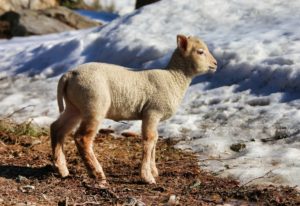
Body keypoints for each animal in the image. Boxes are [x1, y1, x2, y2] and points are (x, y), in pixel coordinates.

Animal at [50, 34, 217, 184]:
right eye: (200, 51)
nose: (215, 64)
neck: (174, 78)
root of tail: (69, 74)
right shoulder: (152, 111)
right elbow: (150, 139)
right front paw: (147, 177)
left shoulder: (154, 115)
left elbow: (155, 139)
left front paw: (153, 171)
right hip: (94, 104)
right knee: (82, 138)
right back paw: (96, 173)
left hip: (75, 106)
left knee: (57, 128)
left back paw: (62, 169)